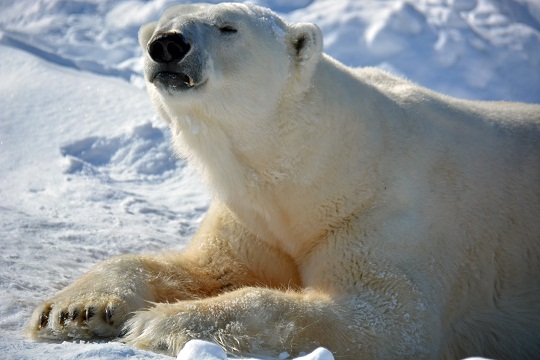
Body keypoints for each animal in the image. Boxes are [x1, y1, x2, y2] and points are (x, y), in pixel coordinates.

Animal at [27, 2, 540, 360]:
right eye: (160, 24)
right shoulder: (255, 217)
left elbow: (387, 318)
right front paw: (72, 311)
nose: (167, 45)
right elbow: (206, 267)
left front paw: (161, 323)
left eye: (227, 27)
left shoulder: (386, 214)